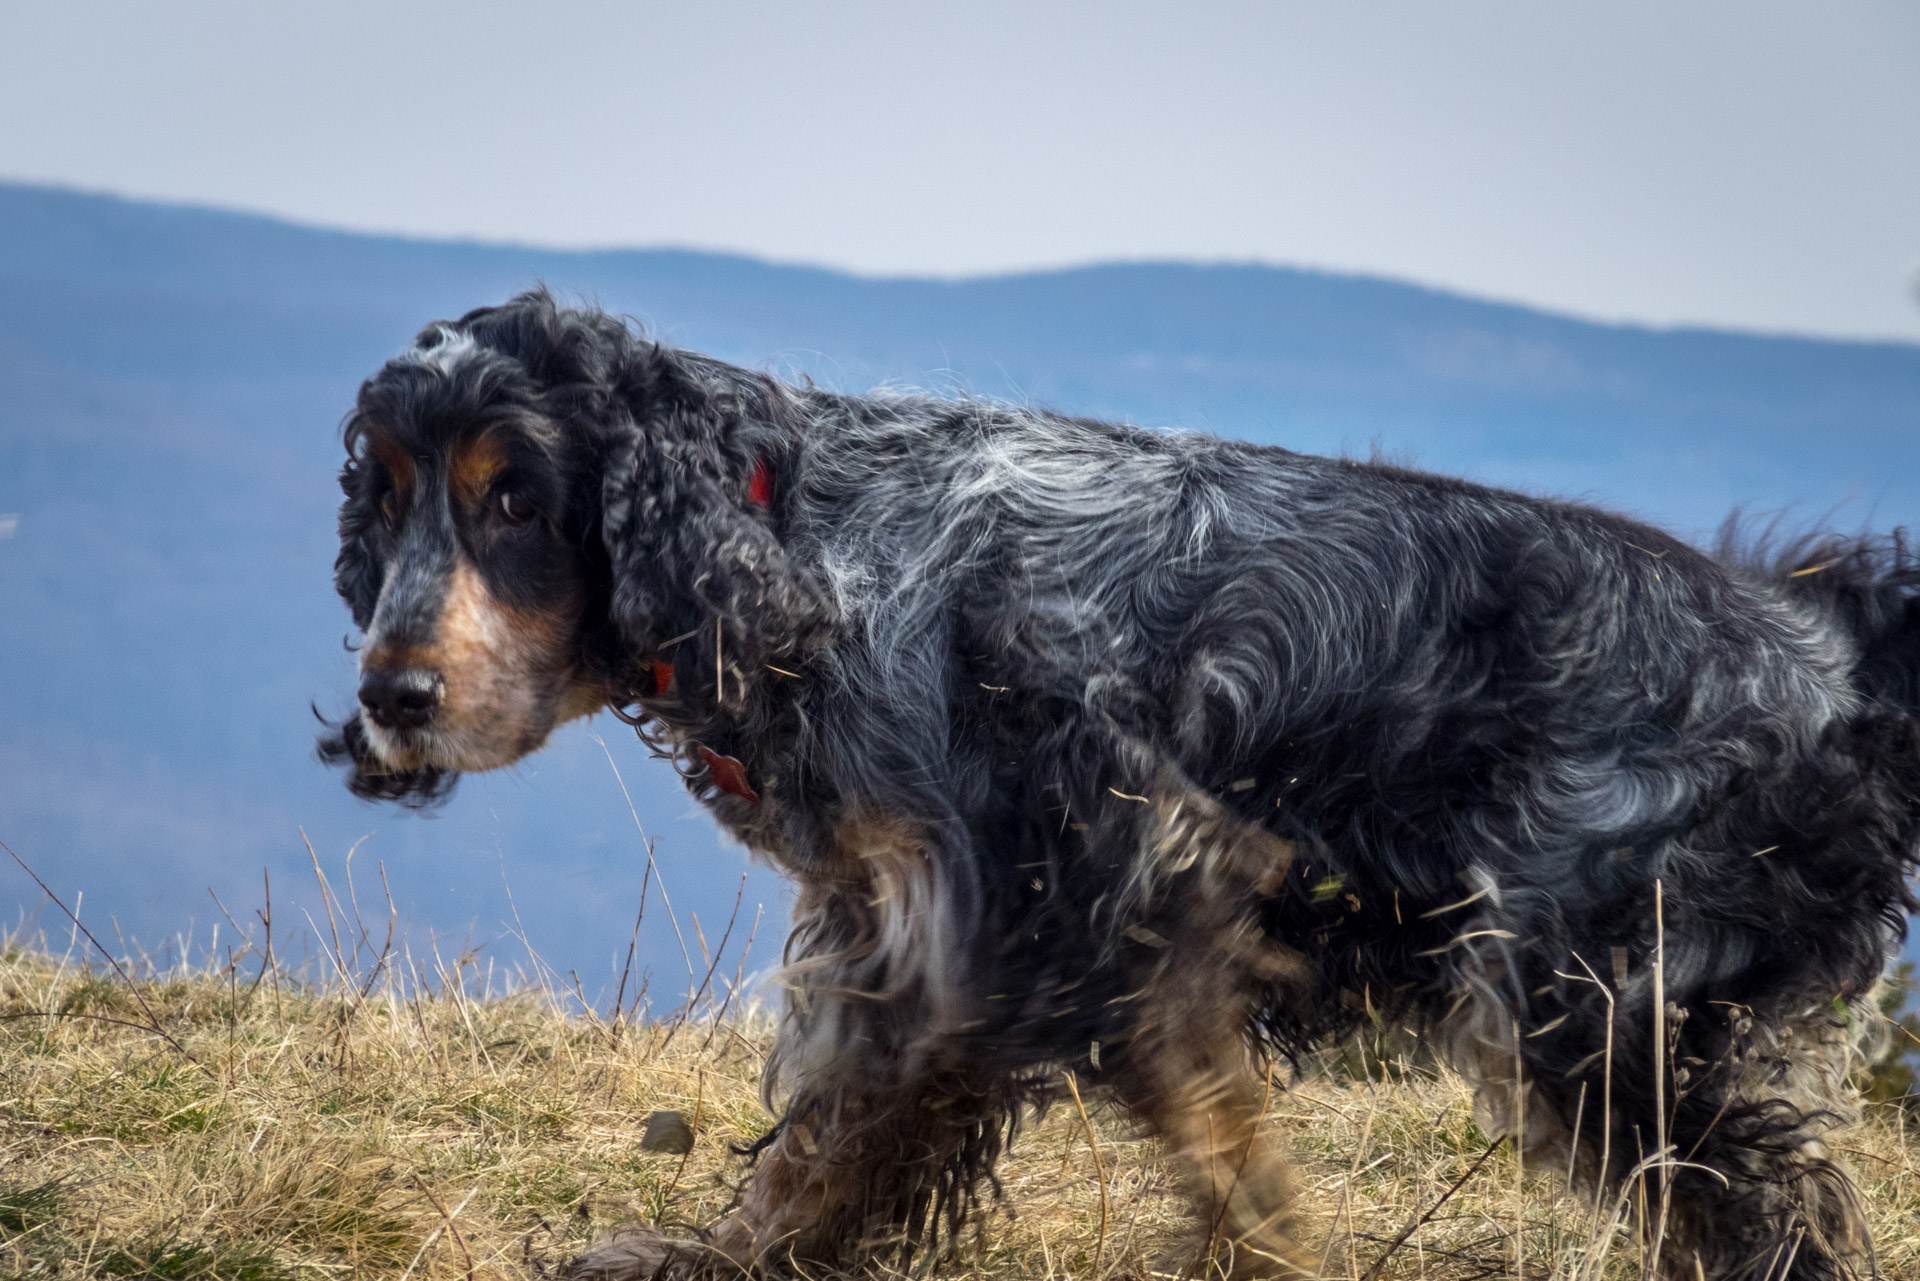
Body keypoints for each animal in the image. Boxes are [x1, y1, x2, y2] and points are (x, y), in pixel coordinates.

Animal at [322, 293, 1912, 1281]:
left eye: (518, 496)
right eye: (383, 498)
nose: (390, 696)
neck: (801, 551)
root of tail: (1827, 655)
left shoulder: (1105, 894)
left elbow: (1208, 1147)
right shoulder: (911, 924)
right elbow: (828, 1142)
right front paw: (723, 1256)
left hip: (1591, 1004)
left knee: (1774, 1212)